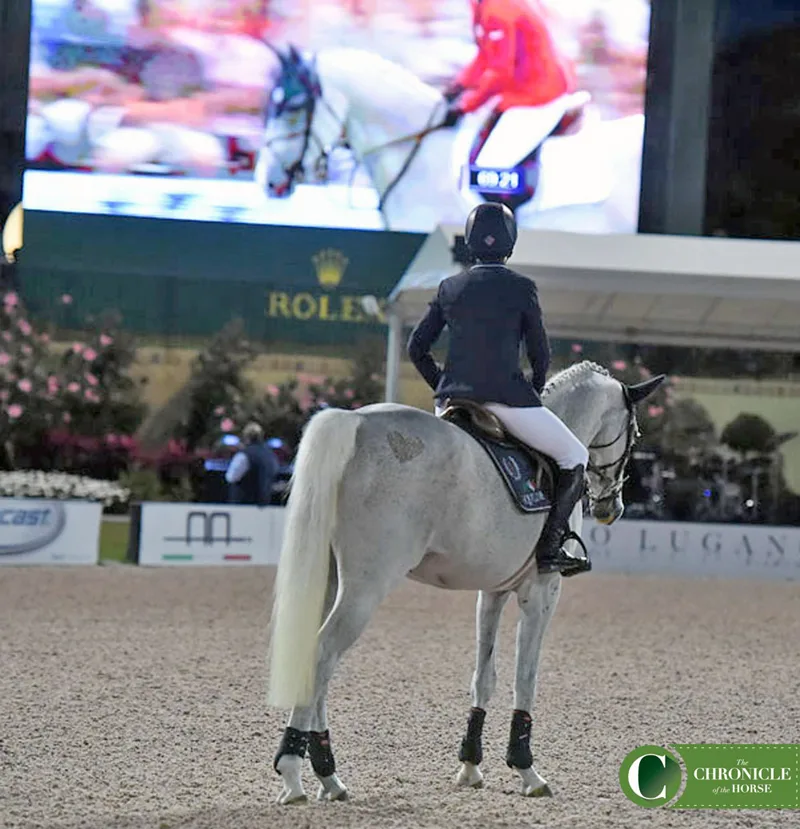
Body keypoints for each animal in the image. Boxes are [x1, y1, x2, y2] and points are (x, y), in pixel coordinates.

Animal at [266, 362, 660, 804]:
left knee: (314, 656)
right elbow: (526, 678)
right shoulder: (541, 591)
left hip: (330, 580)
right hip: (365, 587)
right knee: (322, 654)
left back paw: (328, 778)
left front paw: (470, 765)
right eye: (635, 433)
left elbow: (484, 678)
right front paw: (526, 770)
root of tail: (356, 421)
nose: (613, 508)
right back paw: (293, 773)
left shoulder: (492, 591)